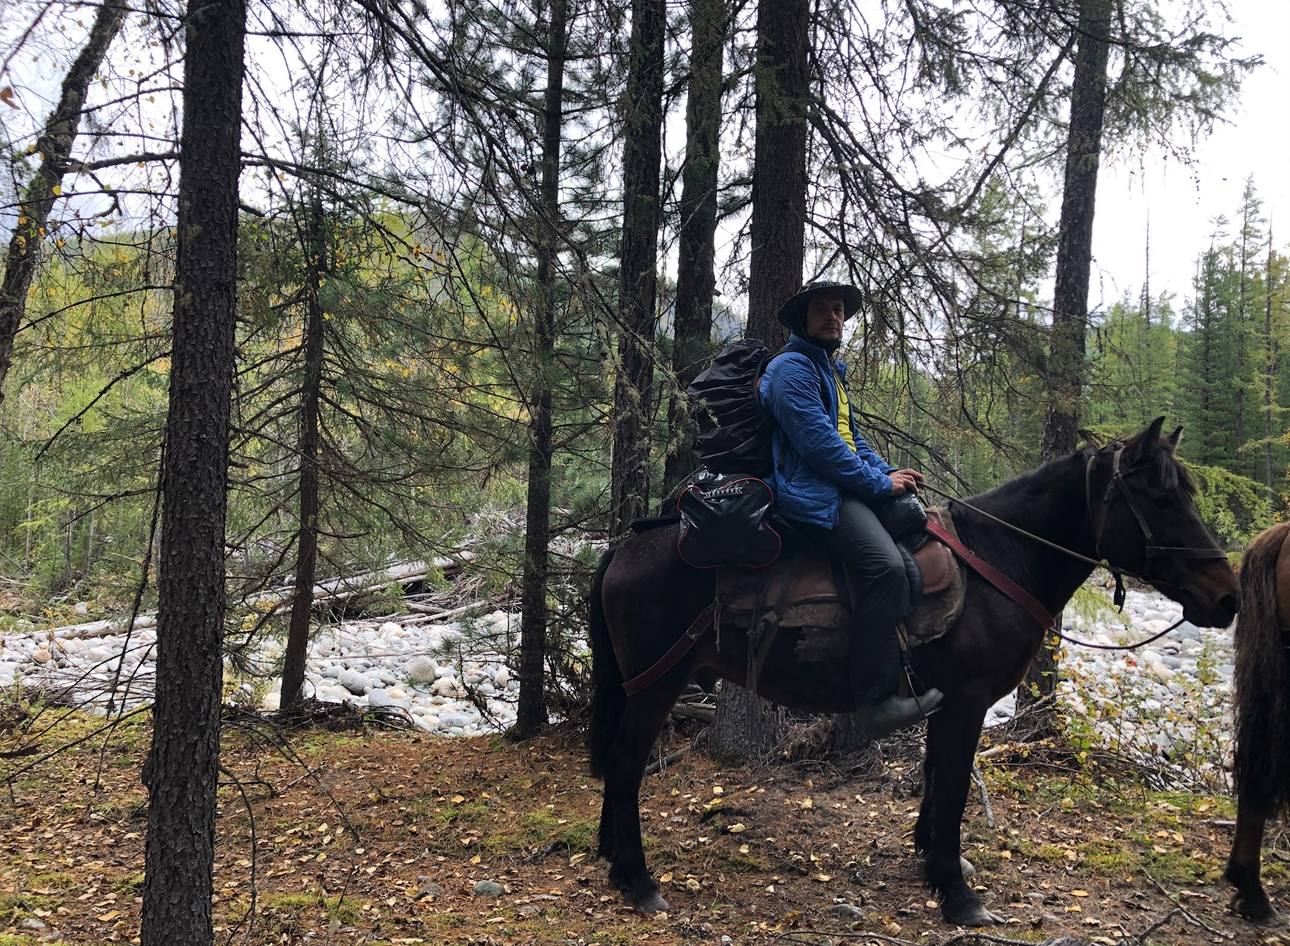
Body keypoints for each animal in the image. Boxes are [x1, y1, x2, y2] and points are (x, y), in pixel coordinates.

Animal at [587, 417, 1240, 926]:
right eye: (1162, 500)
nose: (1227, 597)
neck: (999, 563)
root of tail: (624, 546)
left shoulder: (942, 701)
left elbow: (934, 780)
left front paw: (932, 861)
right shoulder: (966, 701)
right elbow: (951, 787)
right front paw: (957, 892)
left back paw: (611, 858)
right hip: (658, 684)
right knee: (626, 764)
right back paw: (638, 879)